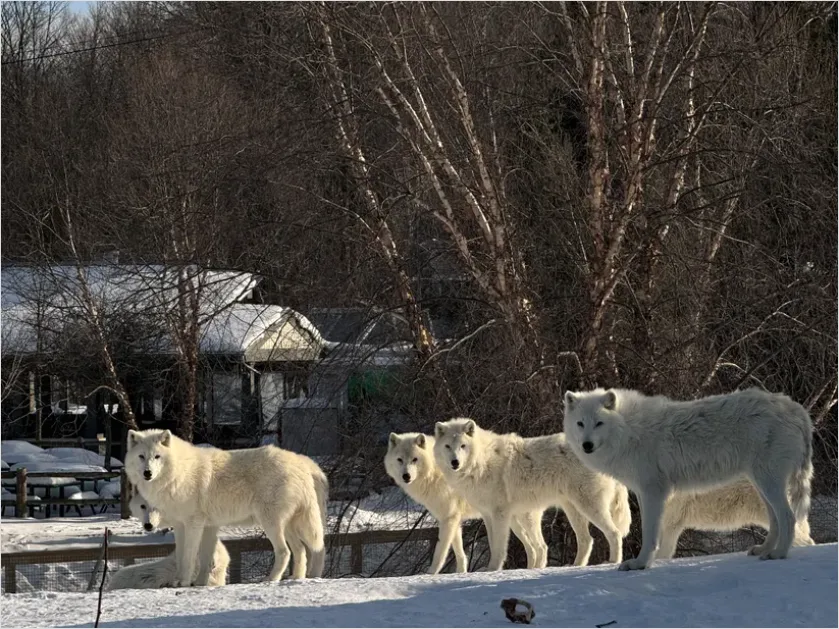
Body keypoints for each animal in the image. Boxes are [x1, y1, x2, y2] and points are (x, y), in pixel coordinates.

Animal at [125, 429, 327, 586]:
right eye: (141, 456)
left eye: (157, 456)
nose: (148, 473)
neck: (179, 473)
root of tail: (302, 462)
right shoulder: (193, 526)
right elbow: (197, 558)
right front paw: (198, 584)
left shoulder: (193, 524)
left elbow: (189, 557)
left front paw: (183, 582)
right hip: (290, 526)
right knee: (303, 550)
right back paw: (297, 578)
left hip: (273, 523)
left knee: (287, 552)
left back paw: (271, 579)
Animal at [385, 432, 548, 573]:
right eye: (400, 460)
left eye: (414, 459)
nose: (406, 476)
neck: (435, 472)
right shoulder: (454, 520)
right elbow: (460, 554)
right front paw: (461, 573)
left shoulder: (449, 519)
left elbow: (440, 552)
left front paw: (430, 575)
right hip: (511, 522)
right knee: (531, 549)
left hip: (522, 519)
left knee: (541, 547)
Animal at [433, 418, 631, 572]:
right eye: (448, 446)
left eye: (463, 446)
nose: (455, 462)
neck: (481, 461)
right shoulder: (487, 515)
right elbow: (492, 542)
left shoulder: (500, 514)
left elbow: (499, 546)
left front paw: (493, 569)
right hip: (572, 510)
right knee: (586, 540)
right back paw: (575, 565)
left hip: (589, 506)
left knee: (614, 533)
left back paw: (612, 562)